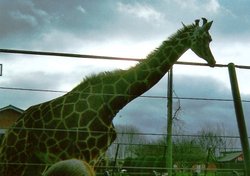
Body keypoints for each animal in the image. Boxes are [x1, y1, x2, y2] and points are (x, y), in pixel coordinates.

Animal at [0, 18, 215, 176]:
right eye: (205, 38)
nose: (213, 61)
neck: (112, 102)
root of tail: (12, 128)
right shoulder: (85, 153)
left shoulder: (97, 156)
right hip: (14, 157)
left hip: (35, 161)